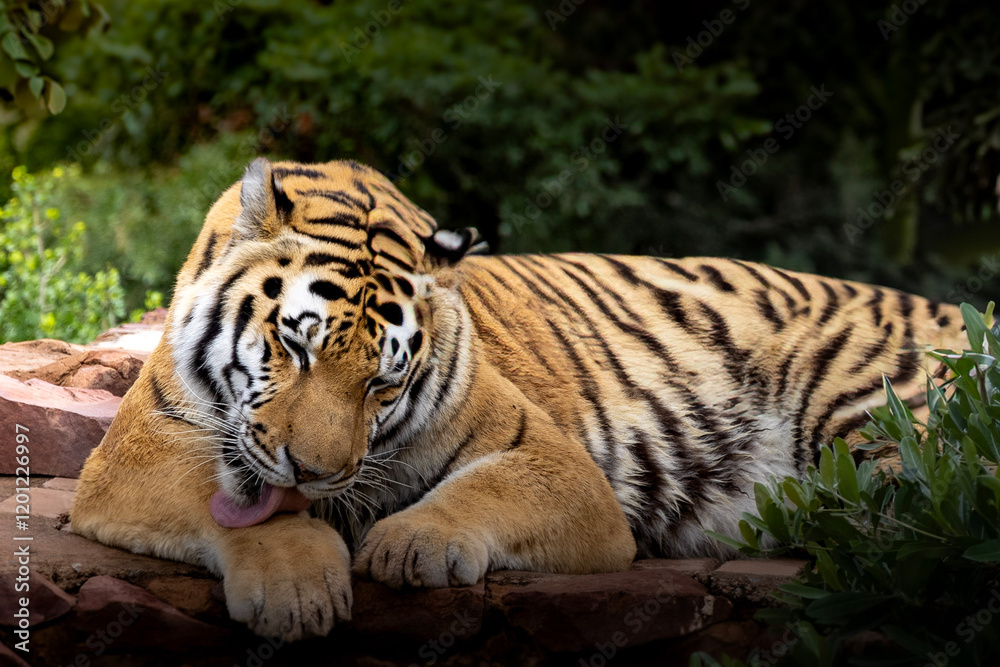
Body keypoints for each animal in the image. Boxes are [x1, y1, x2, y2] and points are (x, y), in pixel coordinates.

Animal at [71, 157, 966, 641]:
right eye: (295, 346)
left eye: (381, 380)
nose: (315, 473)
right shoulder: (133, 452)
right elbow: (235, 506)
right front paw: (297, 588)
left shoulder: (554, 459)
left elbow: (482, 491)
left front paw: (409, 544)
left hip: (882, 427)